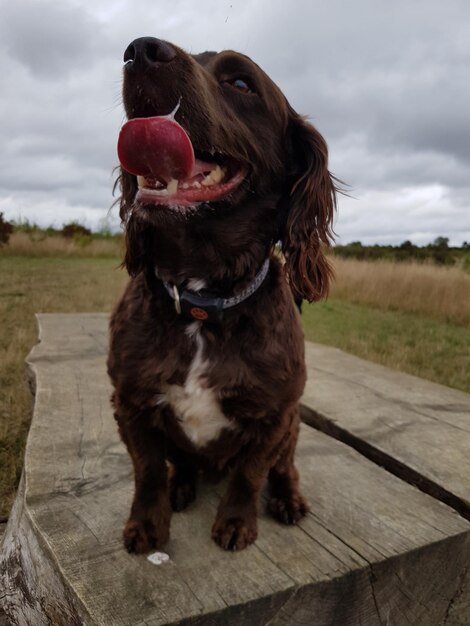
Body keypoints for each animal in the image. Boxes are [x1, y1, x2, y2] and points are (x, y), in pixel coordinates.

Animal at [108, 36, 336, 548]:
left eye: (241, 83)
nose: (138, 50)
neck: (202, 300)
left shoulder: (275, 415)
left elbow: (250, 474)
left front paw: (236, 523)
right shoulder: (129, 402)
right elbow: (148, 469)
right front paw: (147, 523)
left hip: (293, 427)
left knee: (284, 467)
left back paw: (288, 499)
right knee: (179, 464)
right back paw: (182, 485)